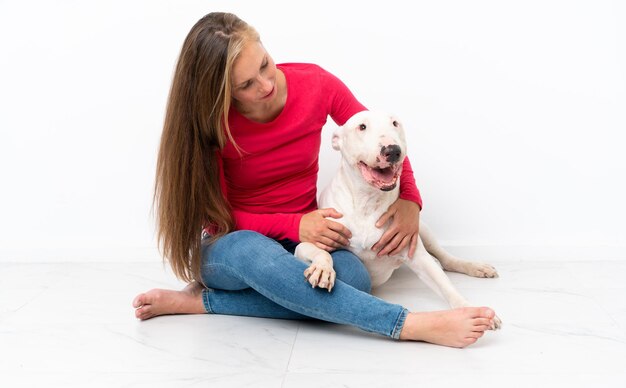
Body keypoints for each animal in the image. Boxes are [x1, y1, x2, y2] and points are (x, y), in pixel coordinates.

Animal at [294, 110, 502, 328]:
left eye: (395, 123)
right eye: (362, 127)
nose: (392, 150)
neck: (367, 201)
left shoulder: (417, 255)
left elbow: (446, 285)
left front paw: (469, 308)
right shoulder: (310, 241)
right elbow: (320, 252)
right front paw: (323, 270)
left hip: (420, 227)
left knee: (446, 259)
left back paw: (475, 267)